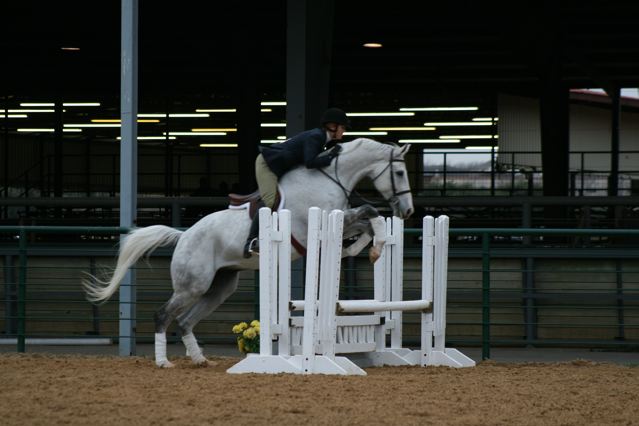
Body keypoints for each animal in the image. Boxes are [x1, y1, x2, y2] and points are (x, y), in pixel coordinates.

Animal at [84, 139, 416, 366]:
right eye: (400, 172)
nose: (408, 211)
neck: (329, 176)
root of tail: (184, 235)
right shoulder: (317, 226)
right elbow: (369, 211)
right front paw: (369, 247)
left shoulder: (338, 221)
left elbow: (367, 222)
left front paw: (366, 248)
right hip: (193, 284)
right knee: (164, 314)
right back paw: (164, 361)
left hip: (220, 286)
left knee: (186, 321)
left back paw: (199, 359)